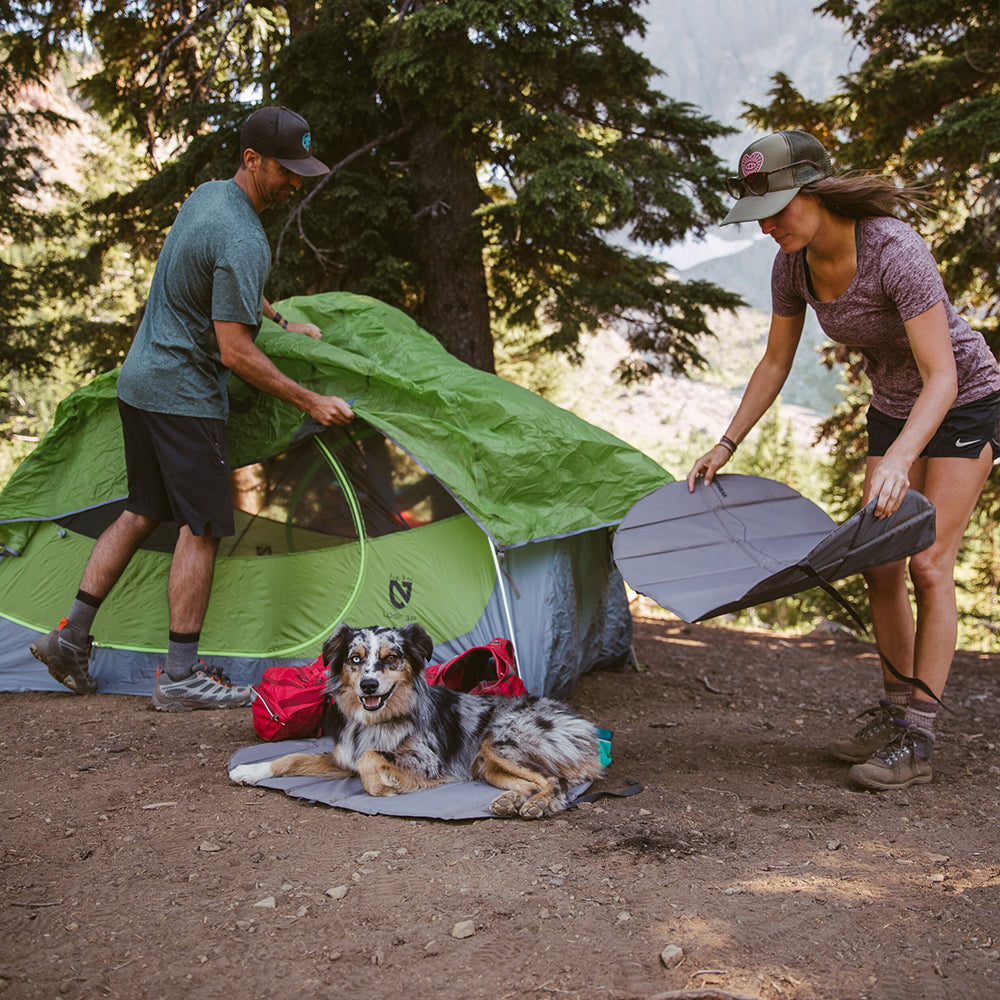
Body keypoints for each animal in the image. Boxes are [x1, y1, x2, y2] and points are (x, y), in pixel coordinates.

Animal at [229, 620, 600, 816]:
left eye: (391, 658)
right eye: (354, 658)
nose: (368, 685)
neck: (375, 721)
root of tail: (582, 723)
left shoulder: (426, 761)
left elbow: (370, 759)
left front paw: (385, 787)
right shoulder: (342, 757)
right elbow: (290, 757)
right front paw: (249, 770)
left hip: (499, 741)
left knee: (556, 781)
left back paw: (539, 804)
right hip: (486, 764)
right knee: (531, 782)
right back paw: (513, 800)